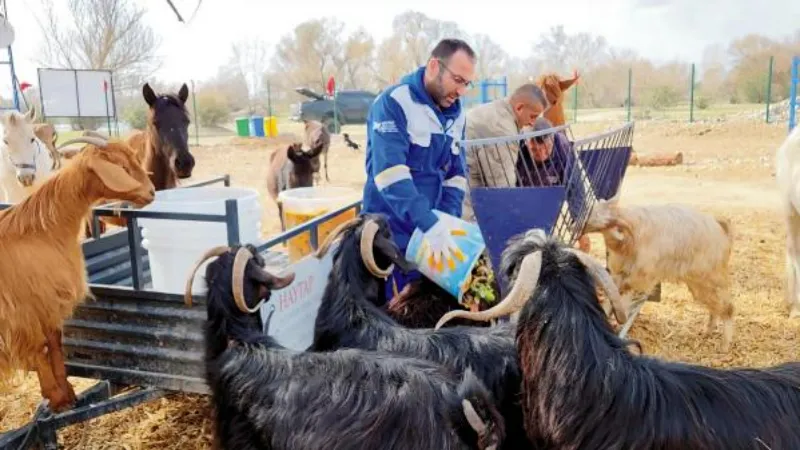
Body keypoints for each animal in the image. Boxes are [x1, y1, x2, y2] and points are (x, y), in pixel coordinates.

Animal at [0, 134, 155, 412]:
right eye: (121, 167)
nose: (151, 192)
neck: (41, 231)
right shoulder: (24, 309)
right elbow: (39, 347)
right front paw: (56, 397)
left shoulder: (48, 302)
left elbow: (55, 342)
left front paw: (67, 394)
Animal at [580, 192, 736, 350]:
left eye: (596, 213)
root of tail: (720, 229)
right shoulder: (620, 273)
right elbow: (612, 295)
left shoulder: (639, 274)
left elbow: (623, 294)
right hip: (698, 283)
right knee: (715, 307)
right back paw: (708, 331)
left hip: (711, 278)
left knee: (727, 307)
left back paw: (724, 346)